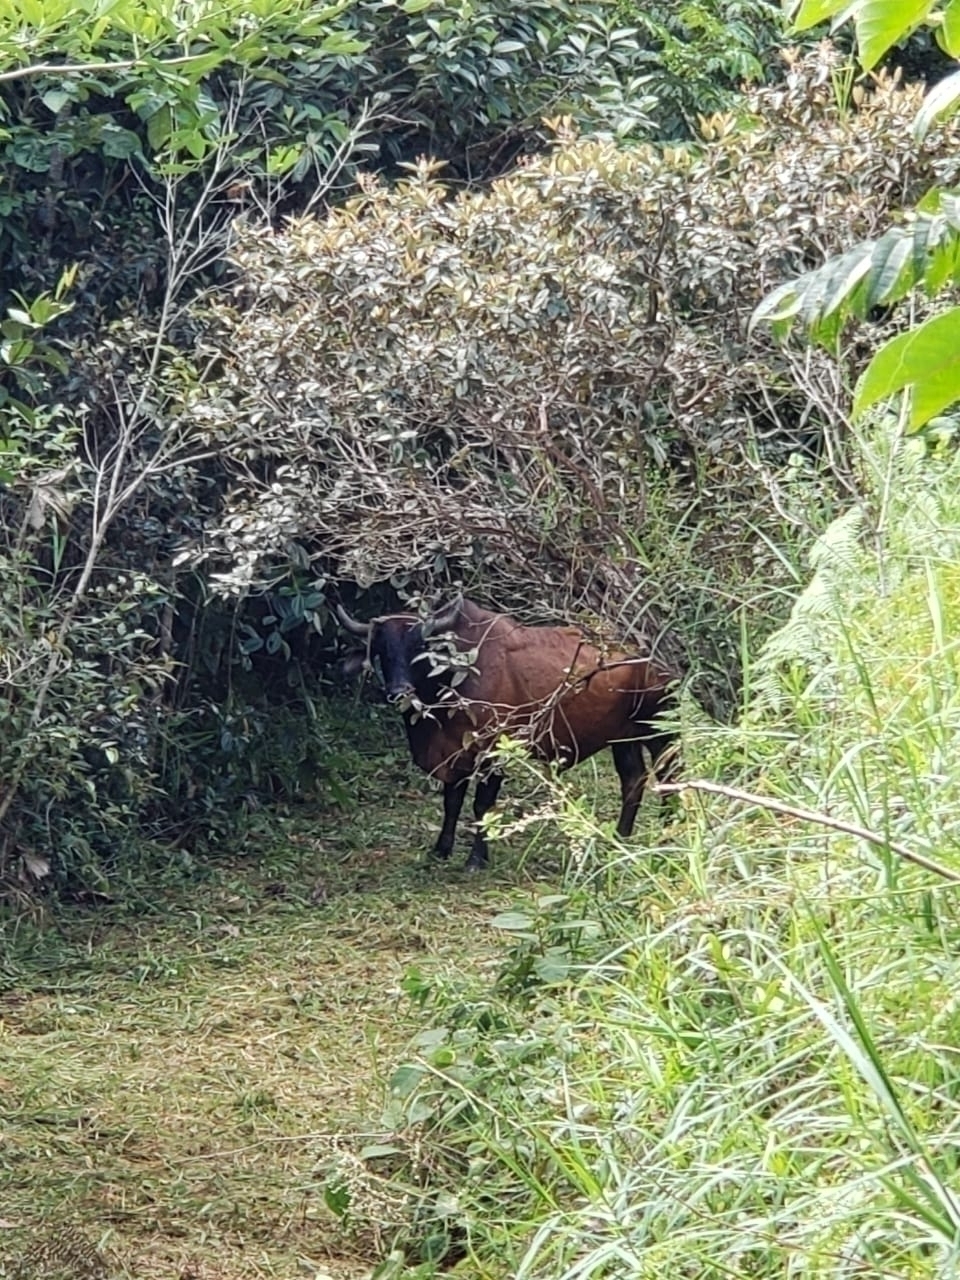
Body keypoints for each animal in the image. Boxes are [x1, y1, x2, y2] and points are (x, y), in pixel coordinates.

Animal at [337, 596, 686, 870]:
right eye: (380, 649)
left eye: (420, 647)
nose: (399, 692)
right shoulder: (455, 756)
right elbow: (452, 802)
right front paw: (441, 849)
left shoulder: (493, 754)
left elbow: (482, 805)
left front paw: (476, 859)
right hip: (623, 738)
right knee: (633, 779)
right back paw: (620, 837)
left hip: (660, 730)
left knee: (669, 776)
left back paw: (668, 832)